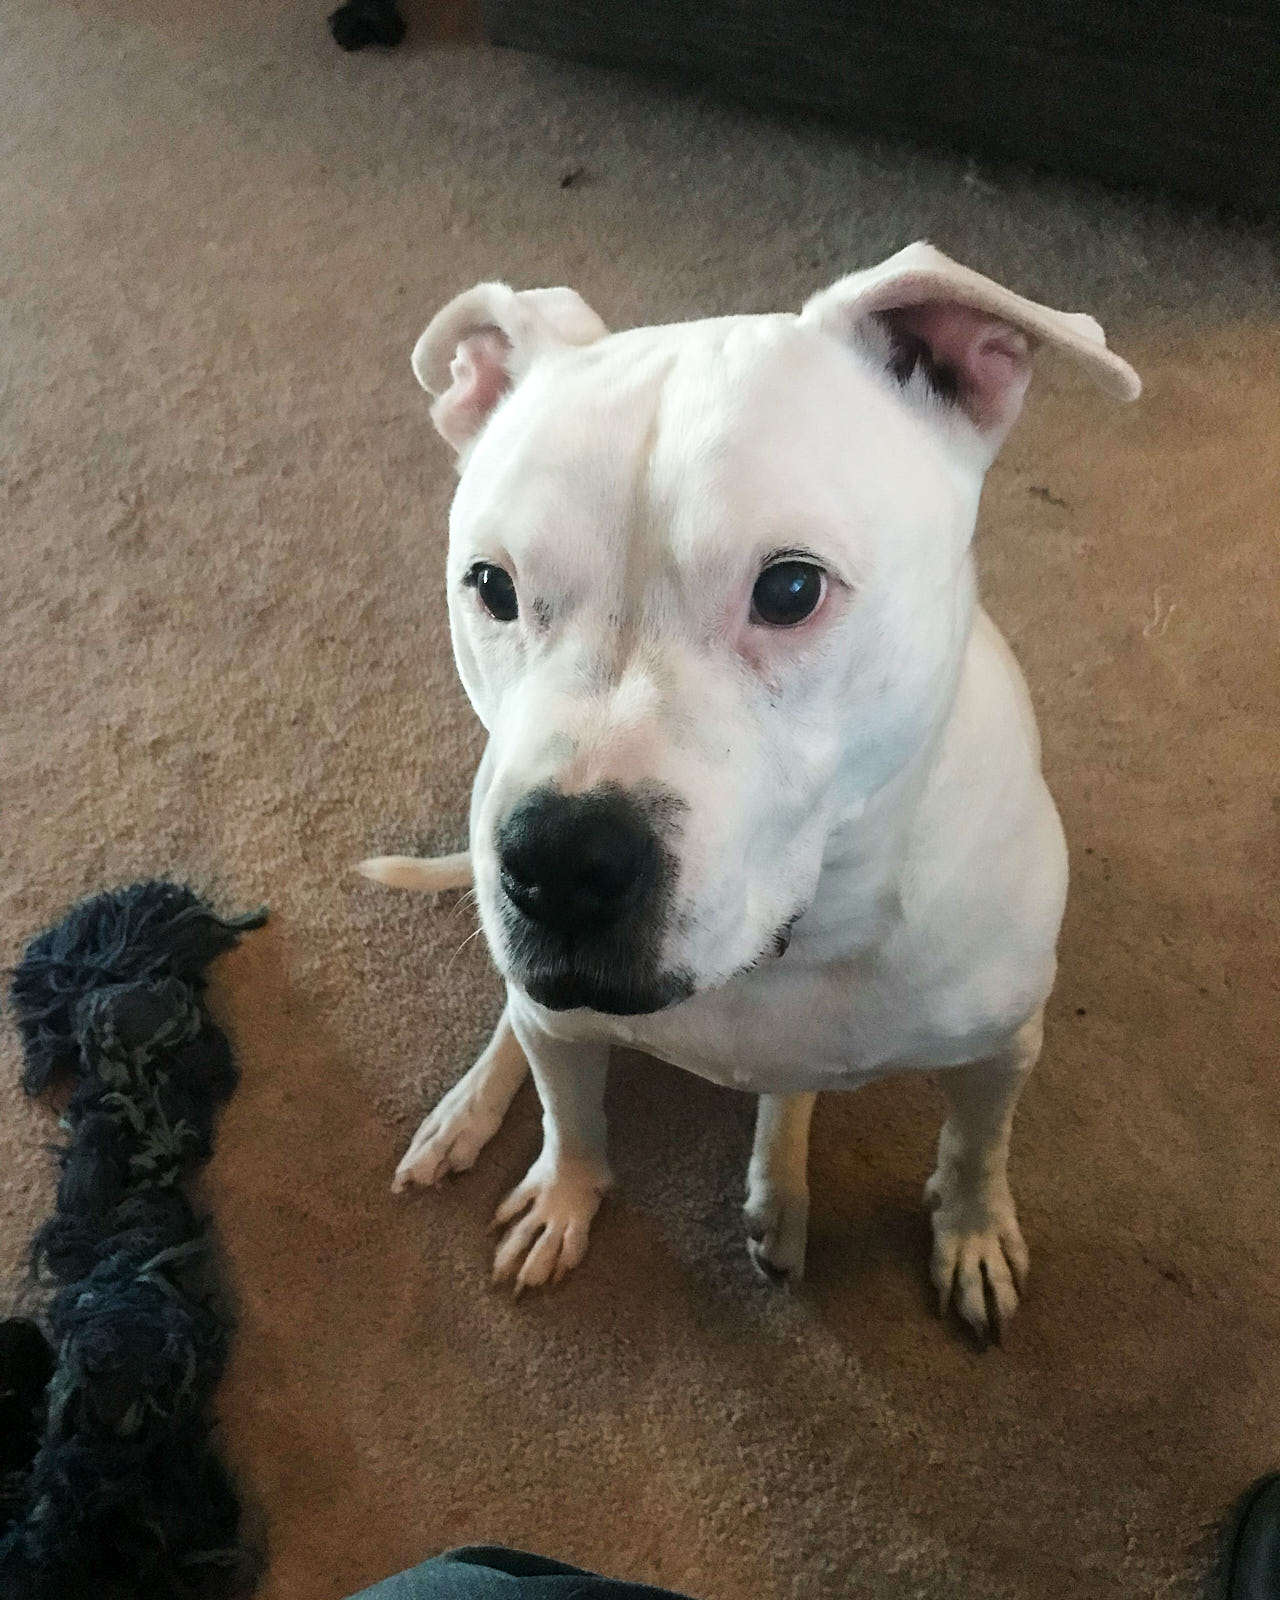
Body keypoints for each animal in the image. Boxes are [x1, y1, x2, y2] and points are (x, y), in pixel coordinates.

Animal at [359, 243, 1139, 1334]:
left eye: (791, 588)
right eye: (491, 586)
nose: (558, 862)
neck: (788, 949)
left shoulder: (1001, 1050)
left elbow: (976, 1147)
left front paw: (972, 1231)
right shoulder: (561, 1018)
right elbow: (572, 1116)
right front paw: (565, 1193)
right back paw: (473, 1107)